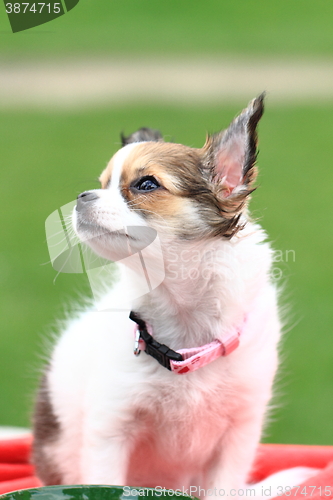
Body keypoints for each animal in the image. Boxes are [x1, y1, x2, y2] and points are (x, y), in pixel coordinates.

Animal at [32, 96, 304, 496]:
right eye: (102, 184)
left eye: (146, 184)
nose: (81, 198)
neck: (182, 312)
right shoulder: (109, 429)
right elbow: (105, 480)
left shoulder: (238, 434)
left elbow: (224, 489)